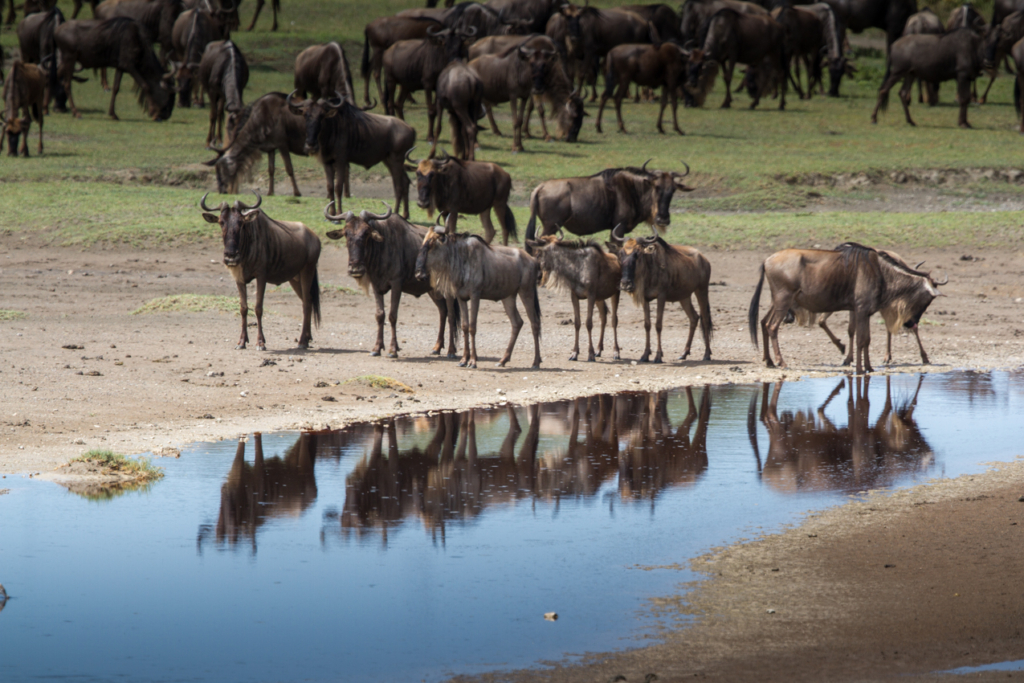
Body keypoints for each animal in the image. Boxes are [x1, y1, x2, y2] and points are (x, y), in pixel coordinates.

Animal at [199, 192, 319, 352]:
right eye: (221, 222)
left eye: (241, 223)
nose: (231, 256)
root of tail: (314, 237)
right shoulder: (239, 279)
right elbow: (243, 308)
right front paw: (241, 342)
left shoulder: (261, 276)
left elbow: (258, 308)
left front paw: (261, 343)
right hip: (295, 278)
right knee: (309, 301)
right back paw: (308, 338)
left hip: (308, 271)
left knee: (306, 303)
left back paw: (302, 342)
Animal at [323, 200, 460, 360]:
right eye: (346, 233)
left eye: (366, 233)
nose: (355, 268)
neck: (381, 249)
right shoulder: (376, 286)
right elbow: (380, 315)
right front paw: (377, 348)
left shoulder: (396, 284)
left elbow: (392, 315)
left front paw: (393, 350)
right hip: (433, 291)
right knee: (443, 312)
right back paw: (437, 347)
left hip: (447, 290)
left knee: (451, 315)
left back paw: (451, 351)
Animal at [415, 227, 544, 368]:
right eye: (423, 243)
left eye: (432, 244)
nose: (418, 274)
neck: (462, 259)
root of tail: (533, 260)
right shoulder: (461, 298)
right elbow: (465, 326)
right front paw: (463, 360)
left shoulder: (475, 295)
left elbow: (472, 327)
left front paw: (472, 361)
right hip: (508, 297)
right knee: (517, 322)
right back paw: (503, 360)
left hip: (526, 292)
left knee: (535, 323)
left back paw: (536, 362)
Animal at [524, 233, 618, 362]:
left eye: (539, 253)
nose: (538, 275)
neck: (577, 268)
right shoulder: (575, 296)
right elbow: (577, 323)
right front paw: (574, 353)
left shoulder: (591, 296)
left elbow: (589, 323)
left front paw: (590, 354)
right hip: (600, 298)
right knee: (603, 317)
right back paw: (599, 350)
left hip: (615, 293)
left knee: (614, 320)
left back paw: (616, 352)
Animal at [606, 224, 712, 362]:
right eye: (621, 254)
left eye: (637, 254)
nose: (625, 284)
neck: (649, 271)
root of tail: (704, 259)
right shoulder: (645, 298)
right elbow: (647, 324)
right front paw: (645, 355)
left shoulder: (661, 296)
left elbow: (658, 324)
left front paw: (658, 356)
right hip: (684, 296)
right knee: (694, 317)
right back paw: (684, 353)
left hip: (702, 290)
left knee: (705, 319)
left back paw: (707, 354)